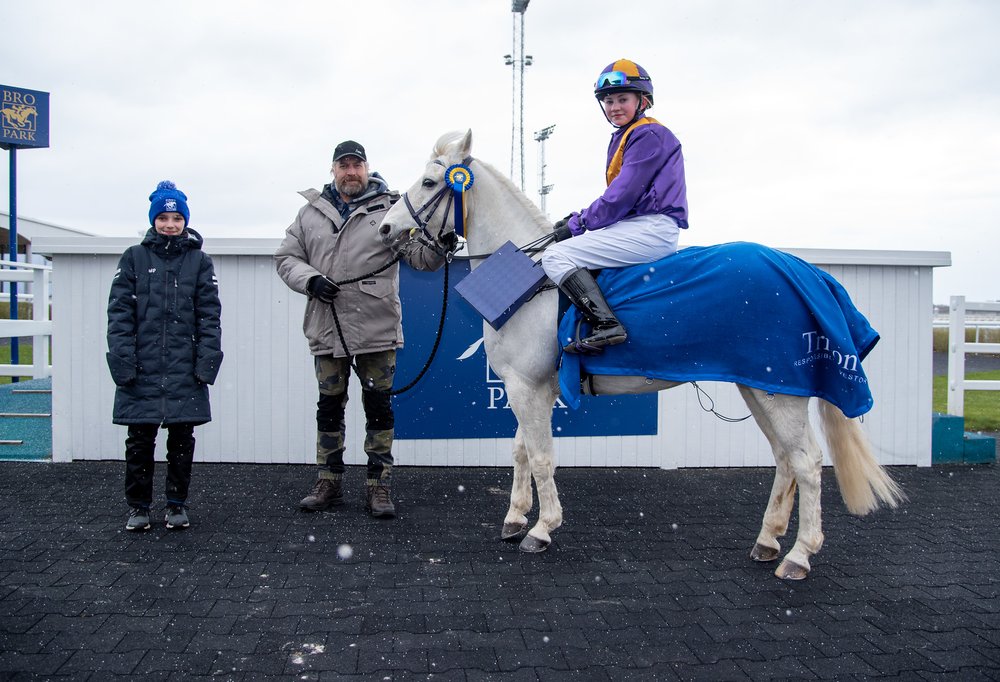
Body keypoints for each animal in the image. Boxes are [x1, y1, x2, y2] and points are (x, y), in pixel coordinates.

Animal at [376, 130, 908, 576]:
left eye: (430, 181)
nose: (385, 229)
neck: (532, 277)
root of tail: (805, 270)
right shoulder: (529, 387)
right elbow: (521, 450)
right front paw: (514, 519)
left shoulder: (526, 386)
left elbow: (543, 457)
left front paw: (542, 529)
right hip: (761, 386)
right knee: (784, 459)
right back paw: (768, 541)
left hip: (782, 392)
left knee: (807, 463)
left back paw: (798, 556)